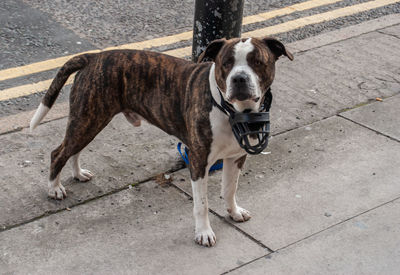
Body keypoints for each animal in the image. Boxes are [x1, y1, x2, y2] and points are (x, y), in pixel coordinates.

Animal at [30, 37, 294, 248]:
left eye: (257, 61)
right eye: (226, 62)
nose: (239, 78)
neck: (232, 111)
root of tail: (94, 57)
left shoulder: (236, 156)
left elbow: (230, 189)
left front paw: (234, 212)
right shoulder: (198, 161)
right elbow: (202, 204)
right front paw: (204, 232)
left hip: (90, 119)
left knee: (73, 150)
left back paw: (77, 173)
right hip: (88, 118)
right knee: (58, 152)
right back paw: (54, 188)